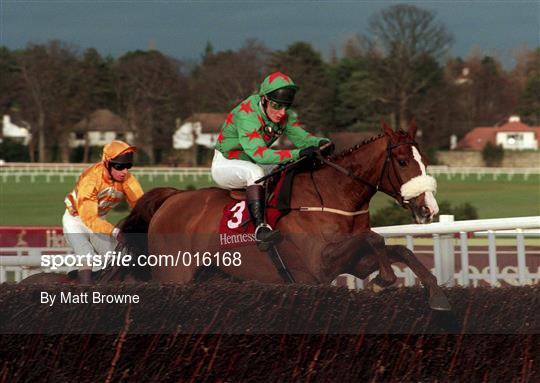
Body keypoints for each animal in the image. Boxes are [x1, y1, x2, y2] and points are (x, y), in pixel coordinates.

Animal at [118, 121, 452, 310]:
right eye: (403, 161)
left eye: (425, 159)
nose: (429, 208)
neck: (333, 195)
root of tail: (171, 199)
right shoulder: (319, 263)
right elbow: (374, 240)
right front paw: (384, 280)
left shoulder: (351, 263)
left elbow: (396, 249)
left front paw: (436, 294)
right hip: (174, 273)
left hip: (212, 275)